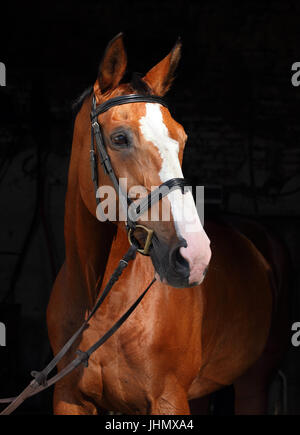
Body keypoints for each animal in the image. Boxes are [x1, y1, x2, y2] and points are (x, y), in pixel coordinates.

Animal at [46, 34, 288, 416]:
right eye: (119, 138)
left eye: (182, 138)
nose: (195, 256)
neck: (102, 300)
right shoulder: (68, 399)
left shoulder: (167, 398)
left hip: (254, 381)